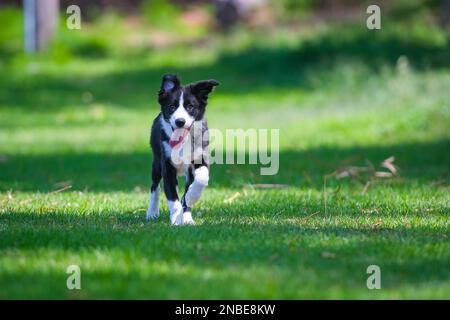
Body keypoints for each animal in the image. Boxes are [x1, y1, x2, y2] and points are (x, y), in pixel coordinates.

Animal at [146, 74, 220, 225]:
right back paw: (152, 212)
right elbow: (172, 199)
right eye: (172, 107)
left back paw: (187, 217)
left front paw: (191, 198)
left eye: (190, 107)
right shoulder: (167, 166)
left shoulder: (200, 158)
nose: (180, 121)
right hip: (156, 162)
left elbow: (201, 179)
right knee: (155, 186)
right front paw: (176, 220)